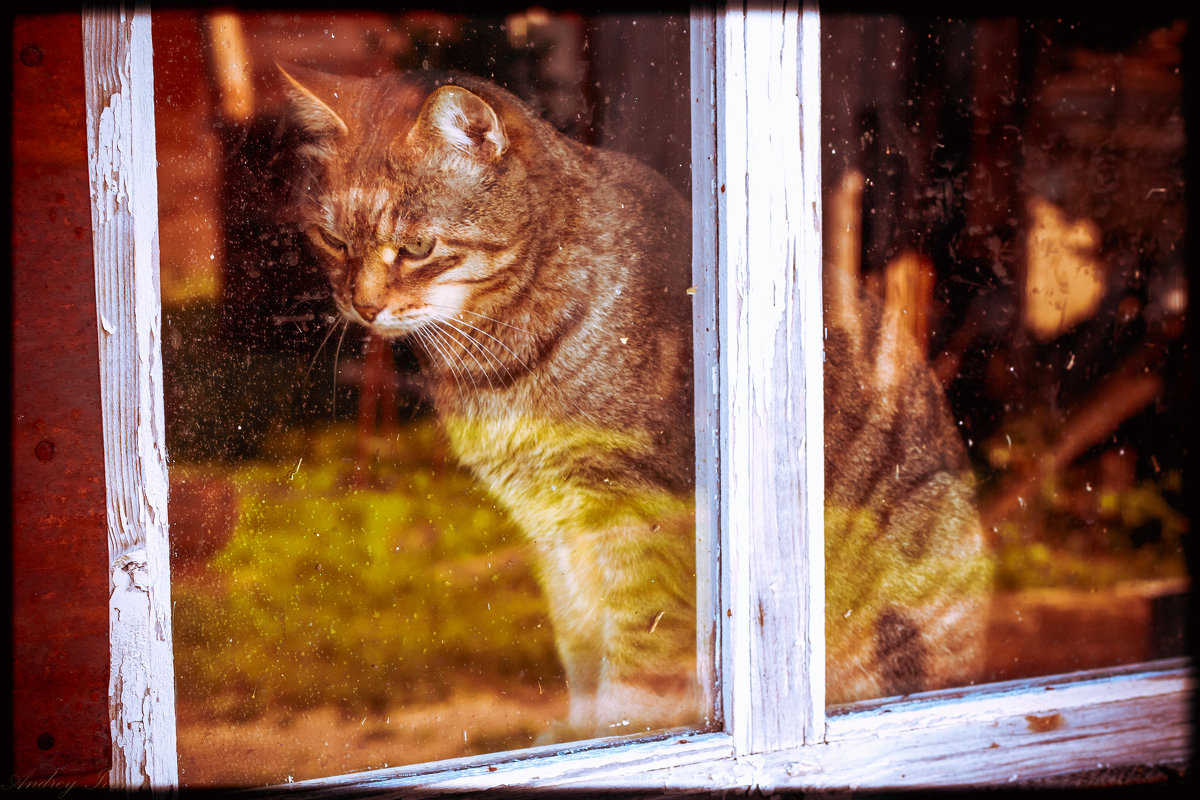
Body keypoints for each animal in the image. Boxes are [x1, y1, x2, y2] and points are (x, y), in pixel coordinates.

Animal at [280, 65, 993, 743]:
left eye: (417, 247)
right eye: (332, 240)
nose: (362, 305)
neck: (501, 356)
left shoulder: (639, 521)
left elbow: (638, 663)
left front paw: (620, 727)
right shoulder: (553, 530)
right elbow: (580, 646)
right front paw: (578, 727)